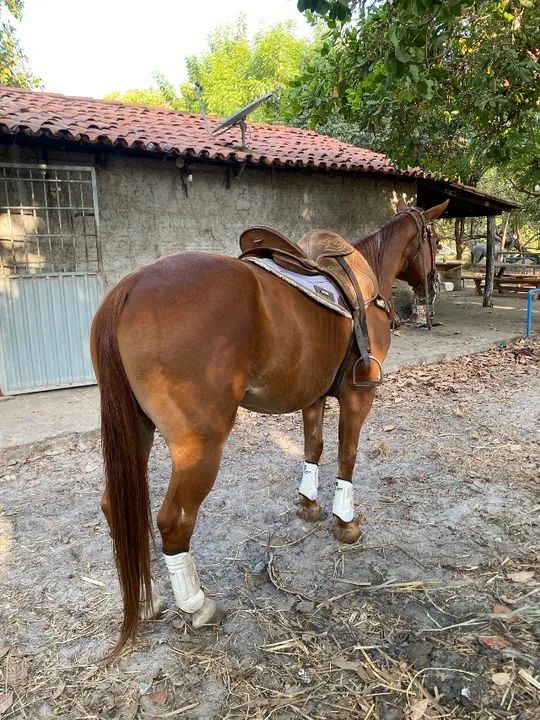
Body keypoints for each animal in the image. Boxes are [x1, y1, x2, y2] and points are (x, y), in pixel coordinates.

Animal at [90, 198, 448, 654]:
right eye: (434, 240)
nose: (432, 287)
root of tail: (130, 287)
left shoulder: (313, 398)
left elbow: (313, 449)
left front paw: (309, 505)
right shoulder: (358, 397)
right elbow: (347, 457)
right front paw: (345, 522)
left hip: (137, 429)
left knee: (115, 506)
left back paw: (146, 595)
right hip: (198, 447)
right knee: (174, 520)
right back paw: (196, 605)